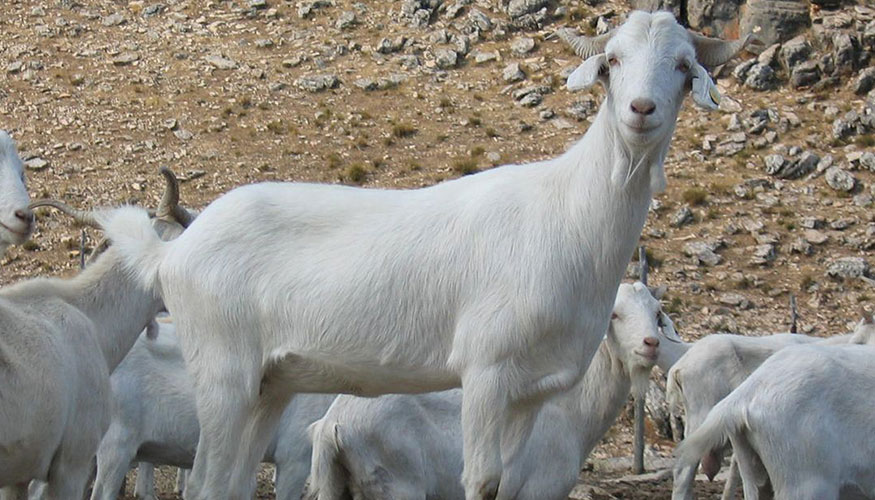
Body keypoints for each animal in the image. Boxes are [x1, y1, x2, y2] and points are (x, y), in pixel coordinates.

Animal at [304, 282, 680, 500]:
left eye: (657, 312)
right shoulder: (539, 491)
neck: (571, 409)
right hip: (397, 484)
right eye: (614, 315)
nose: (650, 344)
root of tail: (332, 425)